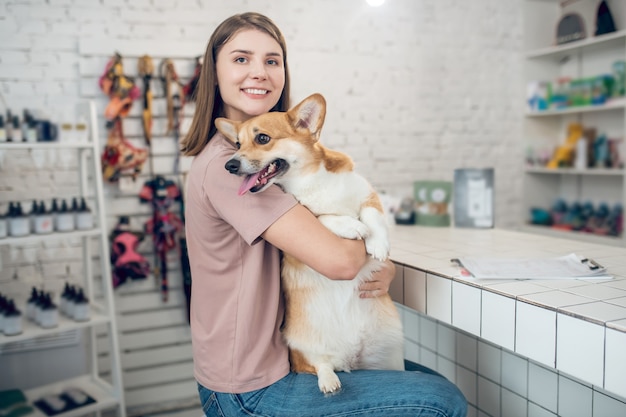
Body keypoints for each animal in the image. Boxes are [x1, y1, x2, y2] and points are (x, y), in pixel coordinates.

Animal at [214, 92, 402, 394]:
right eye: (238, 144)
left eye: (263, 139)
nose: (229, 166)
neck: (310, 182)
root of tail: (350, 359)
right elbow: (323, 216)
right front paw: (352, 226)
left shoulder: (367, 193)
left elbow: (372, 213)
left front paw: (378, 245)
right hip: (304, 349)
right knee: (320, 365)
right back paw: (329, 381)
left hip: (389, 357)